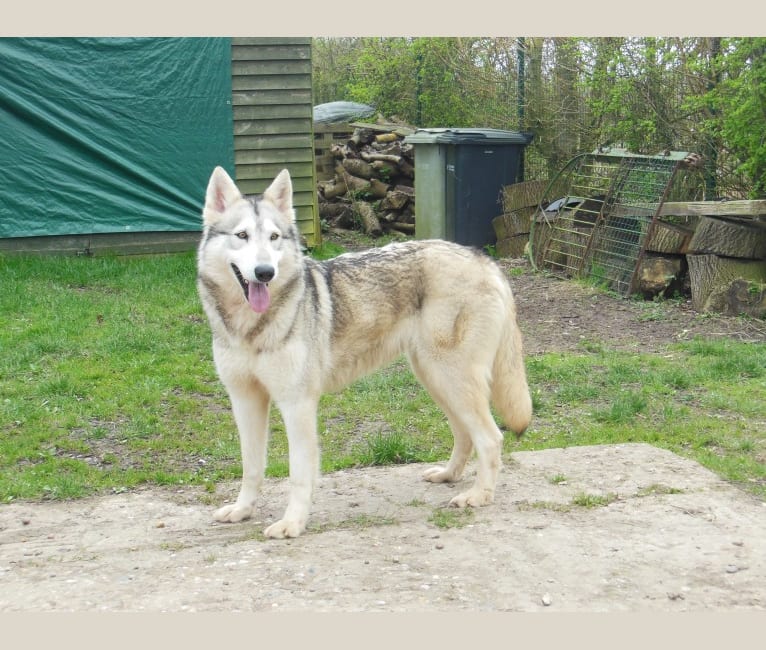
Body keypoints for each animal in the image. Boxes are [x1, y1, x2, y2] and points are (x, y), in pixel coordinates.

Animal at [196, 166, 536, 536]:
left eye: (274, 238)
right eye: (242, 235)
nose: (264, 272)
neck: (250, 327)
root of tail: (483, 258)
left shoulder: (297, 404)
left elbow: (299, 475)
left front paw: (292, 523)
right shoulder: (245, 401)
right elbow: (251, 467)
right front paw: (242, 510)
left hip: (451, 381)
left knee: (491, 438)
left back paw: (478, 496)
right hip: (436, 380)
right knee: (465, 434)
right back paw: (448, 476)